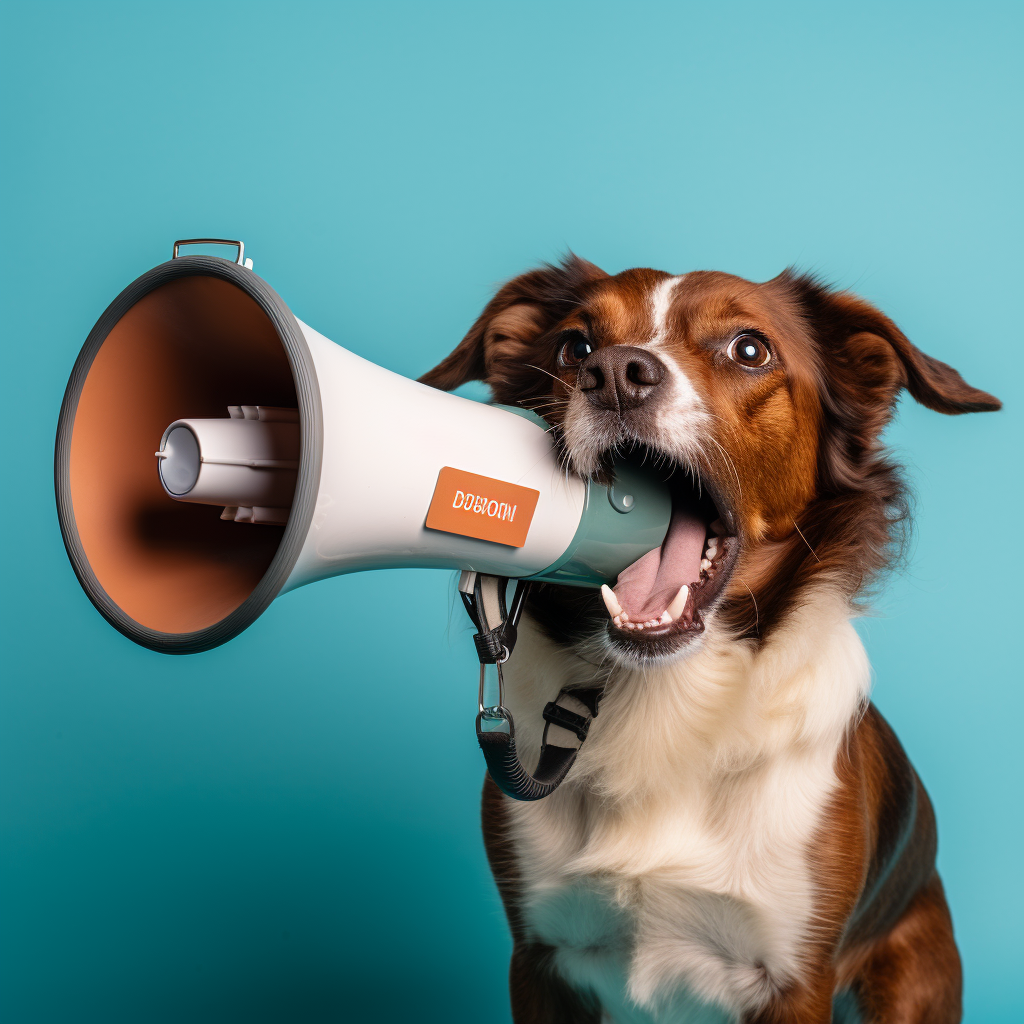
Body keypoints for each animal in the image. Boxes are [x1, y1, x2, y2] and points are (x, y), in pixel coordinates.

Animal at [417, 258, 999, 1024]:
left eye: (749, 349)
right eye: (575, 347)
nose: (615, 373)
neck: (666, 699)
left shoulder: (794, 980)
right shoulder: (539, 959)